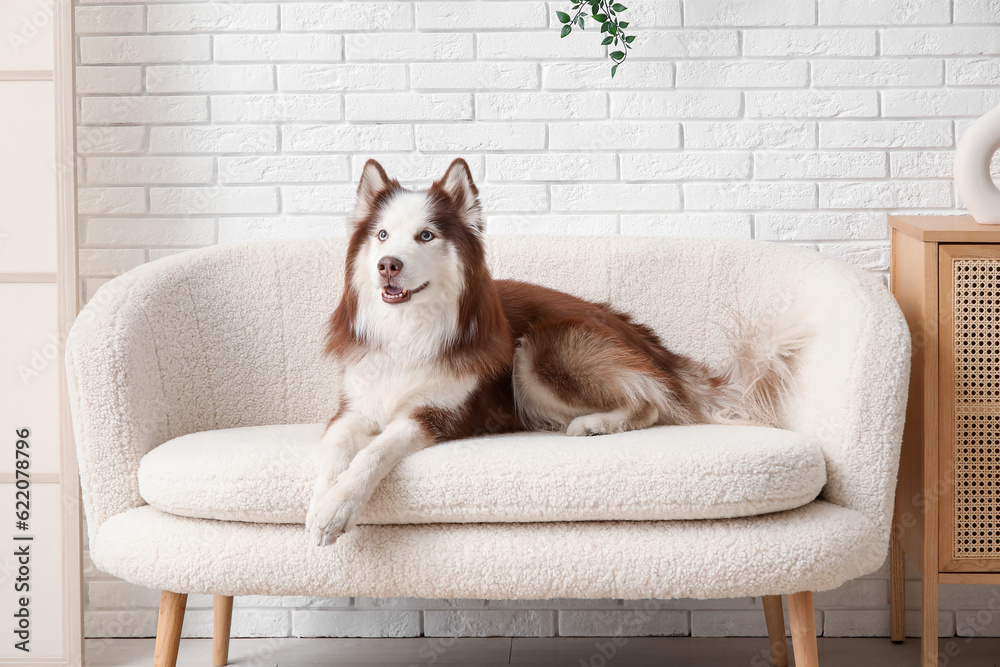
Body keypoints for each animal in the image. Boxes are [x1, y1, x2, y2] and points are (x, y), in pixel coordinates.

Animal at [302, 159, 804, 544]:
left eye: (426, 236)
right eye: (383, 236)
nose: (388, 266)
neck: (408, 329)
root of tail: (648, 342)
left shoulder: (440, 415)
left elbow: (375, 451)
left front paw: (336, 508)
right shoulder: (354, 406)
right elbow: (334, 448)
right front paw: (320, 502)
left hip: (541, 349)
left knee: (649, 402)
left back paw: (595, 423)